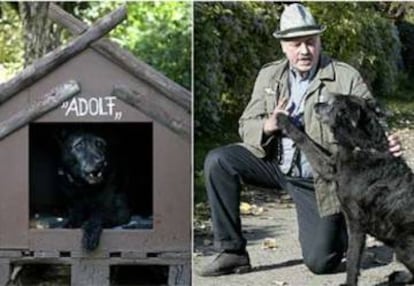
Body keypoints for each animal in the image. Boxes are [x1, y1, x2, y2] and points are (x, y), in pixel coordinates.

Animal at [276, 95, 414, 284]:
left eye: (333, 104)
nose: (316, 105)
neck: (362, 147)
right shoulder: (330, 166)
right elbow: (308, 142)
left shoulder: (356, 223)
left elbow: (352, 260)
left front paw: (283, 119)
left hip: (404, 246)